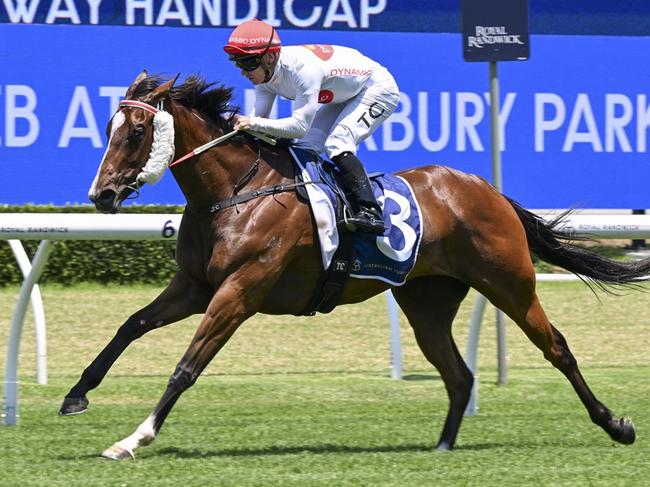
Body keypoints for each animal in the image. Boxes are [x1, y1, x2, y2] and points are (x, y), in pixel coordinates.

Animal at [62, 70, 648, 460]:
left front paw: (133, 438)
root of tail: (486, 189)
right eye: (109, 128)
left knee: (557, 348)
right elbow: (131, 325)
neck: (233, 192)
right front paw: (75, 395)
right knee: (458, 374)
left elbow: (187, 366)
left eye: (135, 132)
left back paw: (615, 425)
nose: (101, 195)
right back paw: (441, 447)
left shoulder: (240, 290)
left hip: (510, 282)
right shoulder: (195, 286)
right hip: (426, 301)